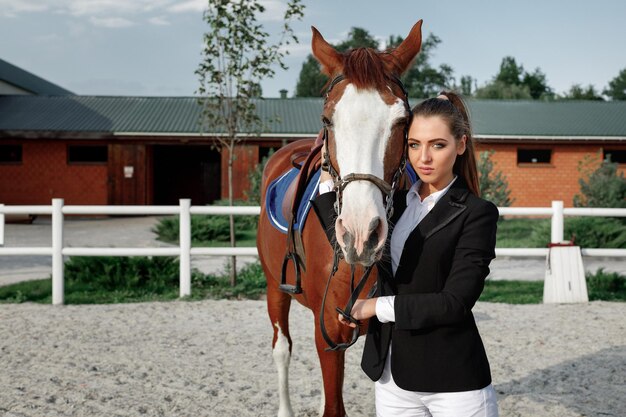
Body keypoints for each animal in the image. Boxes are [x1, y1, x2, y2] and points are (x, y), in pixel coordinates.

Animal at [256, 20, 422, 416]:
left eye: (403, 121)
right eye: (327, 119)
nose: (361, 235)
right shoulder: (328, 326)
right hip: (274, 288)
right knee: (282, 349)